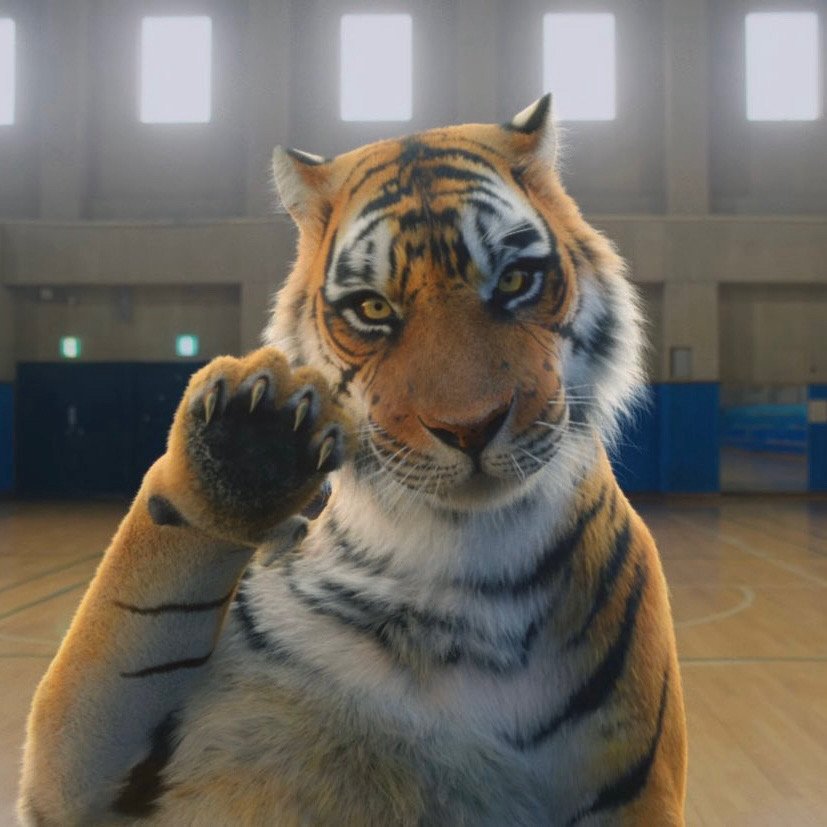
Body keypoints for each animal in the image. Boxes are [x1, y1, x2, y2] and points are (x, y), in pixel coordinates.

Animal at [18, 94, 687, 826]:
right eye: (372, 307)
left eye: (514, 280)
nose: (469, 426)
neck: (456, 562)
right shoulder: (80, 784)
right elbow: (125, 615)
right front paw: (250, 439)